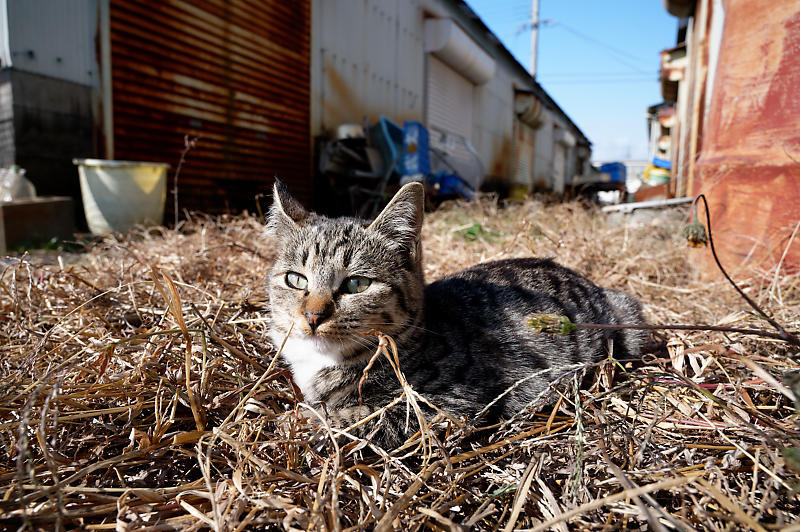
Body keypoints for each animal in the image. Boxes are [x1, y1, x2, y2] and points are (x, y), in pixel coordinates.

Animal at [266, 181, 648, 446]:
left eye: (357, 284)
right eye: (296, 279)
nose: (313, 317)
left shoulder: (453, 404)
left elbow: (359, 418)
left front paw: (297, 420)